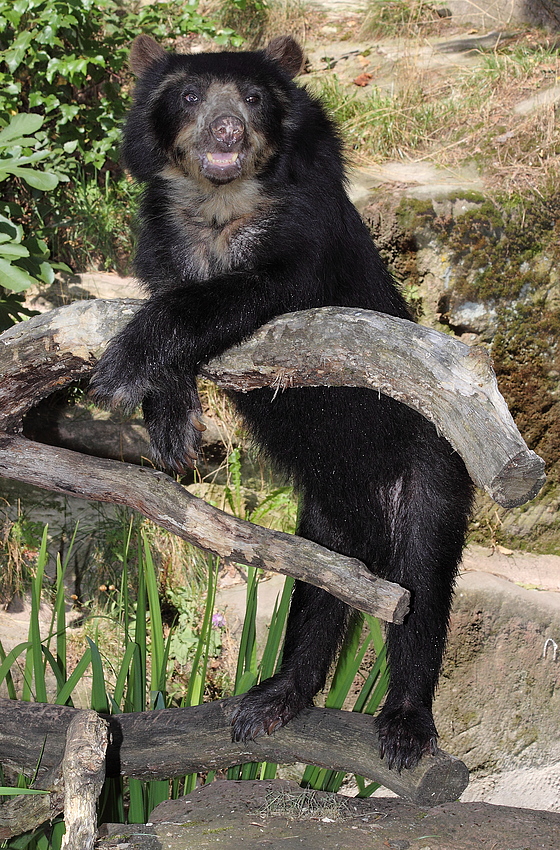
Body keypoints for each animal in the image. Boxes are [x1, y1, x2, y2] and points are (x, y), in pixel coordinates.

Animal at [91, 33, 472, 768]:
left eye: (255, 98)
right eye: (188, 94)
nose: (226, 131)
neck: (219, 204)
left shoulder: (304, 233)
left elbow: (239, 291)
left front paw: (117, 370)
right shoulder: (161, 240)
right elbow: (170, 293)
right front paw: (170, 426)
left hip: (432, 472)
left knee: (420, 587)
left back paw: (404, 725)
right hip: (327, 518)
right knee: (321, 590)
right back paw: (273, 698)